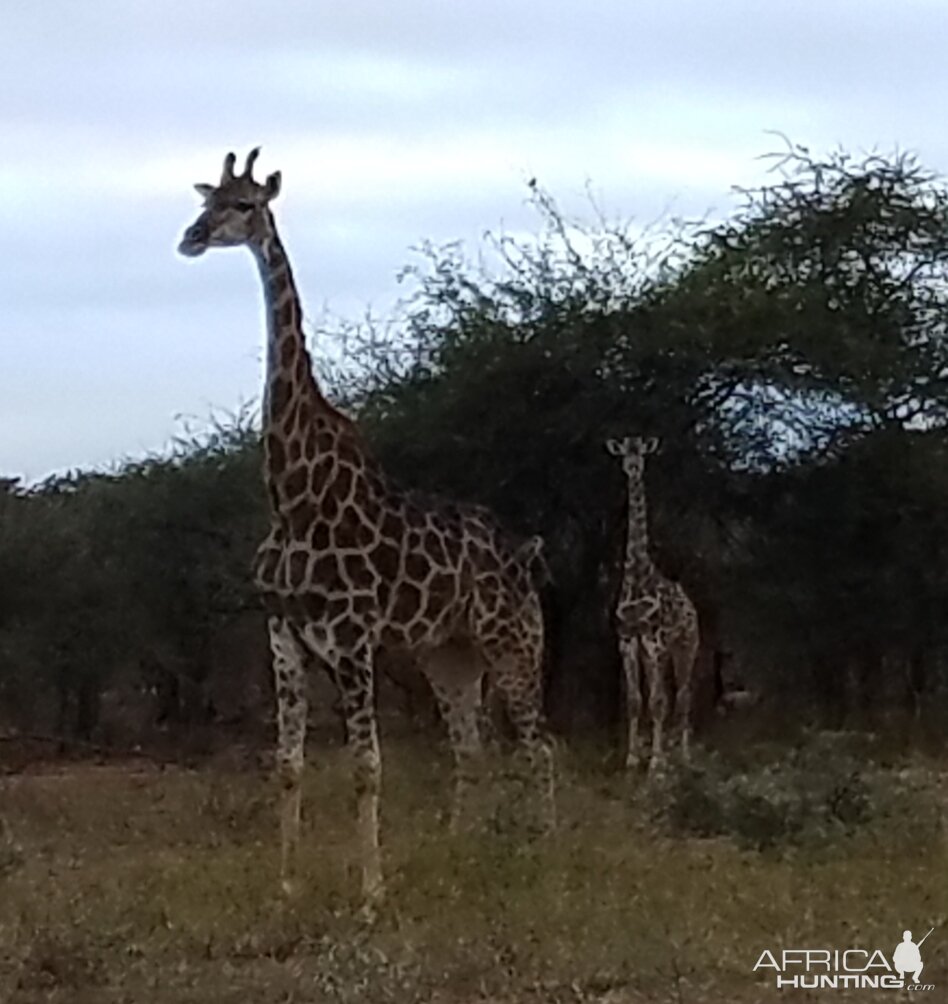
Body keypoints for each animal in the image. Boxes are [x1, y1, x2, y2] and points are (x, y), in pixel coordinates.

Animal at [175, 150, 554, 911]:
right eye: (207, 200)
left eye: (244, 205)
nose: (191, 237)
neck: (292, 494)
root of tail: (525, 553)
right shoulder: (283, 632)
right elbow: (288, 765)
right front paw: (287, 884)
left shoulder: (352, 637)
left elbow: (366, 766)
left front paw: (371, 894)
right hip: (449, 653)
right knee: (472, 746)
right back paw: (462, 852)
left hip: (512, 641)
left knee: (538, 744)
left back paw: (545, 852)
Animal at [602, 435, 698, 771]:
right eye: (624, 454)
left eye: (642, 453)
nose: (632, 467)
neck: (636, 573)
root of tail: (692, 608)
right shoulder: (628, 641)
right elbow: (635, 701)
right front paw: (632, 757)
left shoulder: (655, 642)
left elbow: (657, 702)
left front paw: (656, 762)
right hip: (659, 655)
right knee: (669, 696)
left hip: (685, 647)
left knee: (682, 696)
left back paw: (684, 755)